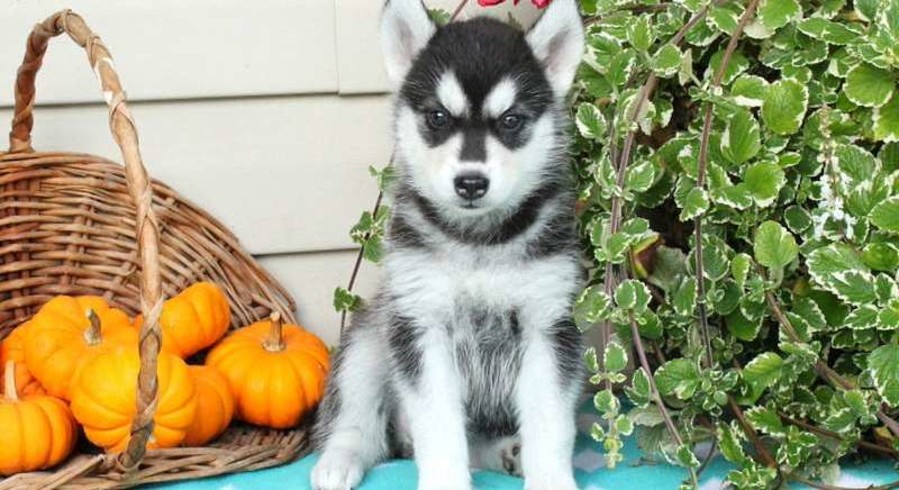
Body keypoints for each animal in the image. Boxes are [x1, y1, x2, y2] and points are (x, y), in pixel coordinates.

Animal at [312, 0, 588, 490]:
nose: (471, 182)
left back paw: (505, 452)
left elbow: (549, 423)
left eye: (511, 121)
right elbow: (439, 426)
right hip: (368, 341)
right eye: (438, 117)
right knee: (362, 425)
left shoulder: (549, 326)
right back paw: (338, 461)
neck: (478, 241)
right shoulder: (421, 326)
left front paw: (550, 479)